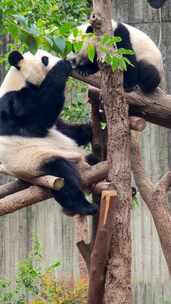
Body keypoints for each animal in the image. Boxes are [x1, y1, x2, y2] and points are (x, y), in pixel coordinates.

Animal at [0, 48, 97, 216]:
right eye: (45, 59)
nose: (71, 61)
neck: (19, 79)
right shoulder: (13, 104)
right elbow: (40, 113)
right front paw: (62, 65)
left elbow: (61, 127)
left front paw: (89, 130)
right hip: (34, 163)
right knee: (63, 175)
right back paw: (85, 206)